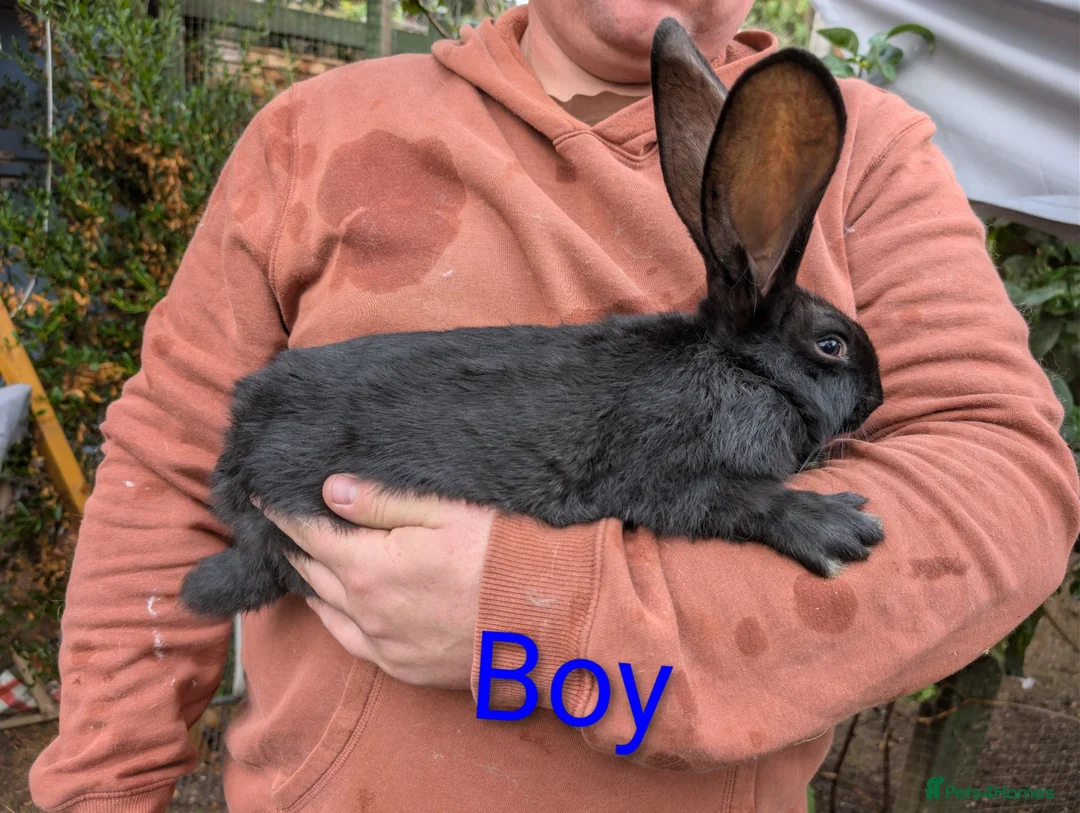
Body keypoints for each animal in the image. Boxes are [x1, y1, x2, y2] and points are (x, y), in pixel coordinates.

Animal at [180, 17, 884, 619]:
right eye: (831, 346)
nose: (877, 398)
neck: (742, 370)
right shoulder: (669, 475)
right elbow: (737, 501)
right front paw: (839, 526)